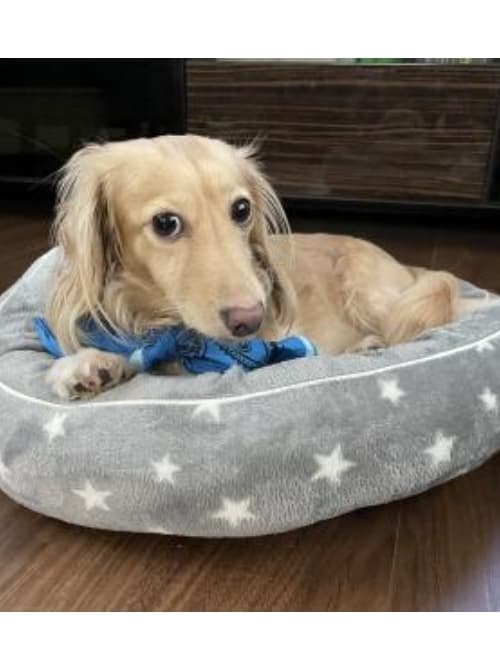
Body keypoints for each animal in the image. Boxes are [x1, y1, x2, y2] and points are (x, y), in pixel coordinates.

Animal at [46, 134, 464, 399]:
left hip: (366, 288)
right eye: (166, 223)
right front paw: (89, 364)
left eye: (242, 209)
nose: (250, 319)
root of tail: (408, 267)